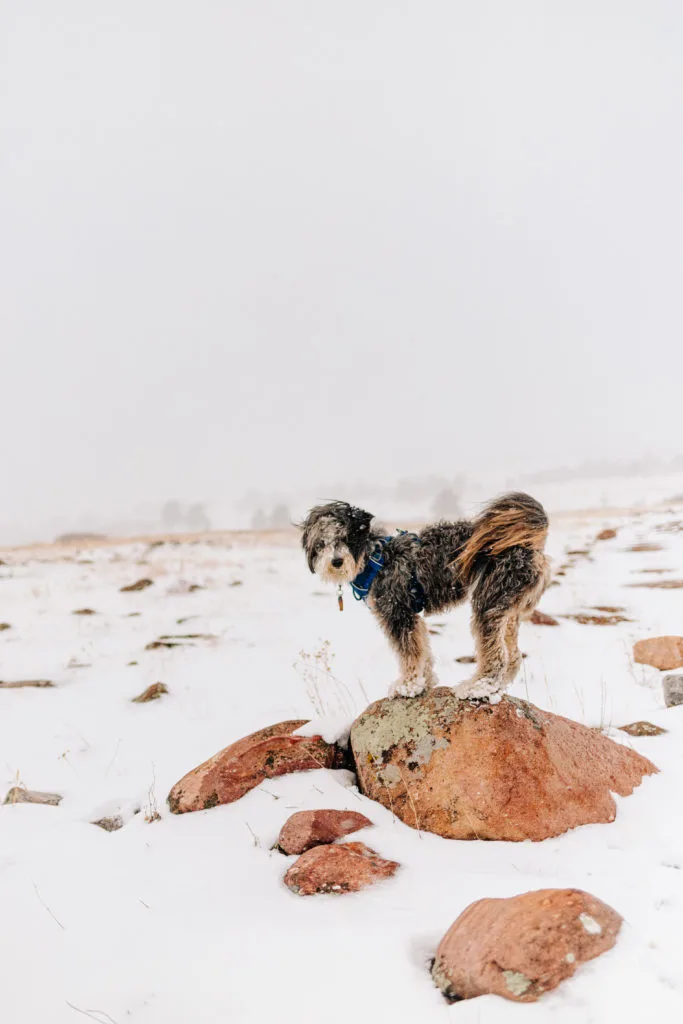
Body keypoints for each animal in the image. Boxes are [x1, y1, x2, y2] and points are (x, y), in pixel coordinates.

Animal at [301, 491, 552, 700]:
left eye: (346, 538)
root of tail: (529, 545)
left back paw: (477, 688)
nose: (336, 561)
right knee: (513, 656)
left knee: (496, 657)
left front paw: (407, 686)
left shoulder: (397, 613)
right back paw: (495, 688)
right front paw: (425, 682)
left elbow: (410, 654)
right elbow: (423, 649)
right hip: (507, 611)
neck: (376, 559)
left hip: (488, 604)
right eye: (321, 543)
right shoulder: (411, 617)